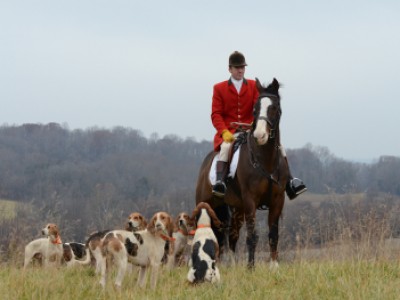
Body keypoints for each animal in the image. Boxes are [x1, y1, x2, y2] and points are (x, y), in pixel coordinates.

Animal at [195, 78, 290, 270]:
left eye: (274, 107)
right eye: (255, 108)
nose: (259, 135)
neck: (266, 160)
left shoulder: (278, 200)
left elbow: (273, 234)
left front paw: (274, 266)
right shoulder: (250, 200)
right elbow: (252, 236)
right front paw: (250, 267)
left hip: (236, 209)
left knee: (231, 236)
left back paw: (230, 265)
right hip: (206, 205)